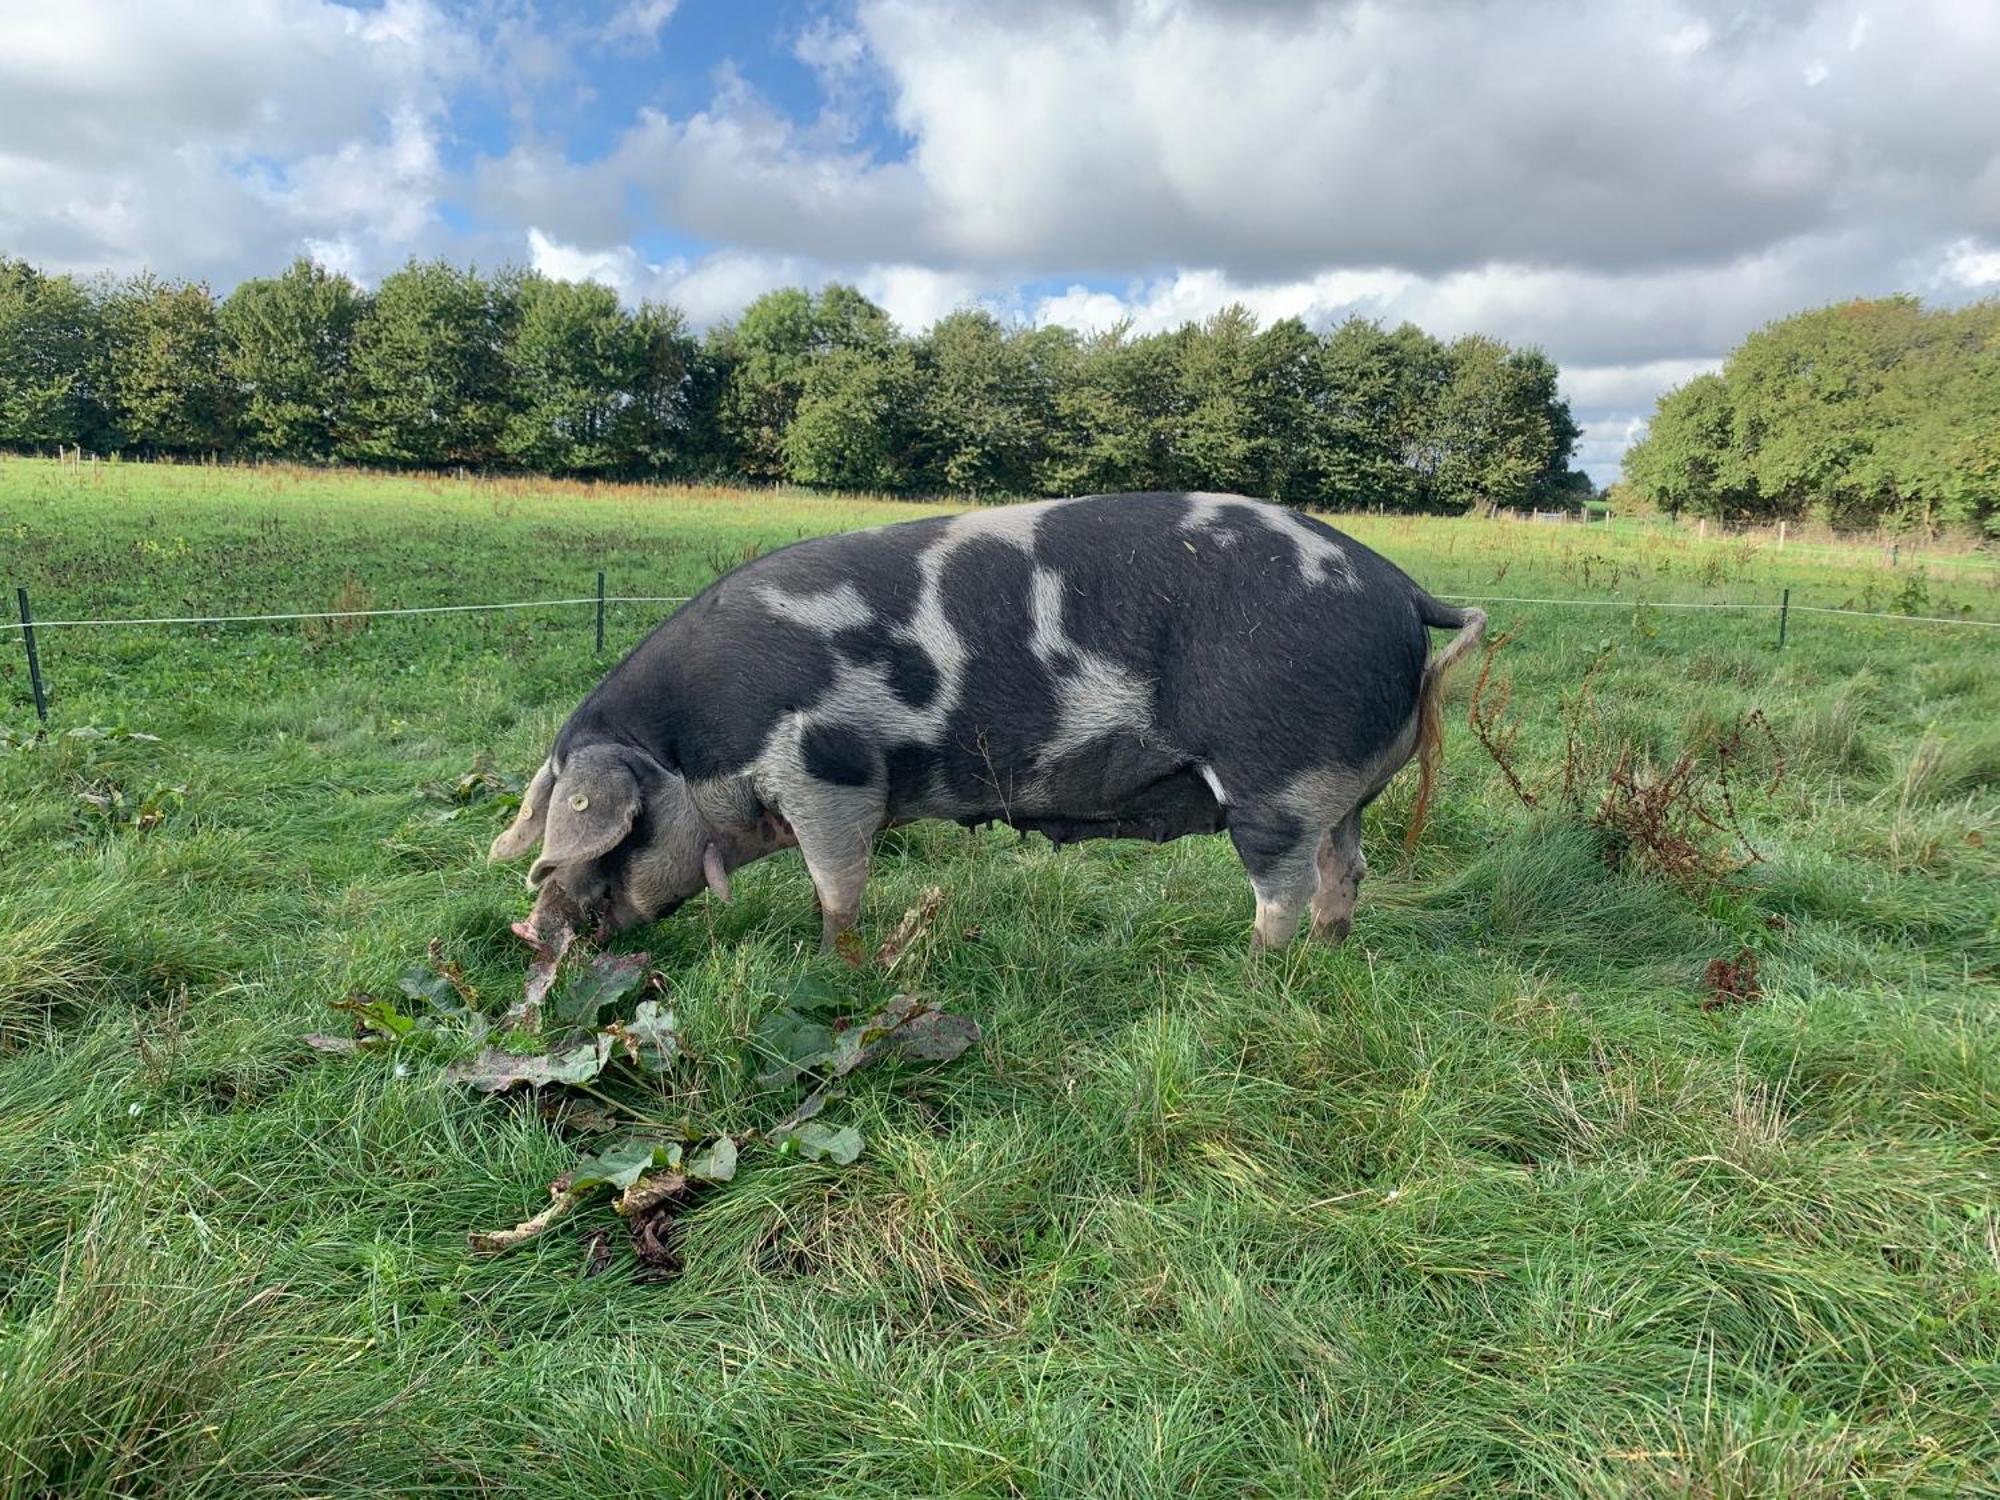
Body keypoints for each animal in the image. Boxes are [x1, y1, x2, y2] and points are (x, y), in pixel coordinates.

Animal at [488, 500, 1488, 956]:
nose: (529, 930)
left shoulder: (830, 772)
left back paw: (1247, 970)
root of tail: (1402, 587)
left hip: (1277, 776)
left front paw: (838, 961)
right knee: (1344, 870)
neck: (696, 749)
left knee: (1280, 887)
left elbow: (837, 885)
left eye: (608, 835)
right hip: (1337, 786)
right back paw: (1326, 953)